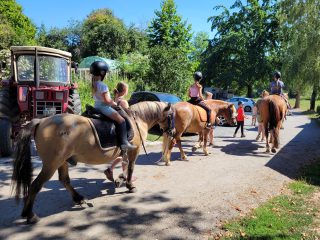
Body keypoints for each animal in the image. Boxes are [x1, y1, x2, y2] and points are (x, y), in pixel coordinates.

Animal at [11, 101, 174, 223]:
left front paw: (119, 179)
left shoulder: (125, 152)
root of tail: (41, 121)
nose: (172, 132)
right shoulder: (134, 150)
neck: (137, 120)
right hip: (52, 163)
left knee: (64, 180)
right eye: (171, 115)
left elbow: (124, 164)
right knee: (36, 185)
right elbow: (130, 167)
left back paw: (78, 198)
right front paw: (129, 185)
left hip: (61, 161)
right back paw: (30, 215)